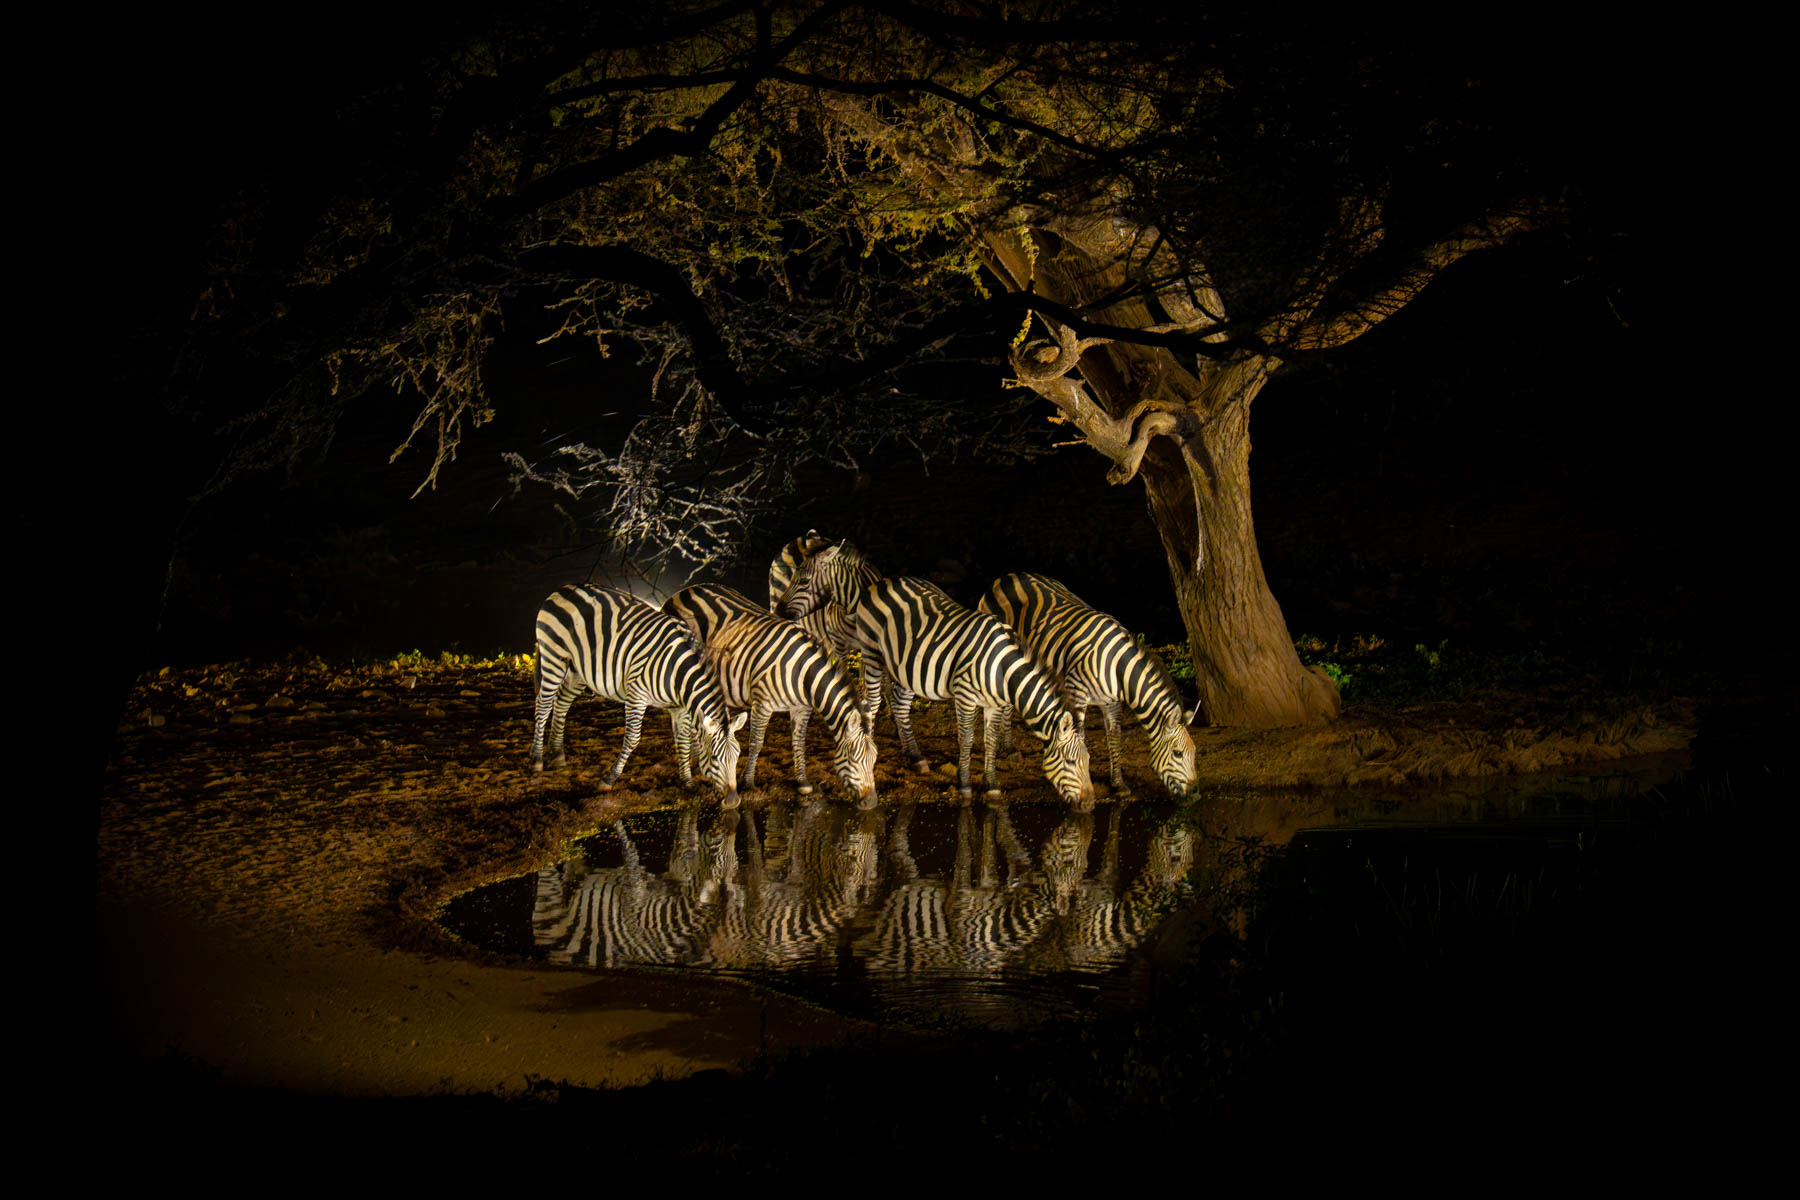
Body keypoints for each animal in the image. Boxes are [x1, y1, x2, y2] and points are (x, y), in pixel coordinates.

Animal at [531, 583, 746, 805]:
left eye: (738, 755)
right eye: (715, 757)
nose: (733, 801)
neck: (679, 673)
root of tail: (565, 588)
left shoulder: (679, 708)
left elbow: (683, 741)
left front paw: (687, 782)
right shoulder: (637, 695)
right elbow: (633, 738)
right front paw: (609, 778)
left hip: (577, 670)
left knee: (561, 702)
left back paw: (557, 754)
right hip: (554, 657)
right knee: (543, 705)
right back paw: (537, 759)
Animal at [663, 584, 877, 803]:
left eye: (875, 759)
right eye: (853, 758)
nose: (871, 802)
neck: (802, 673)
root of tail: (686, 590)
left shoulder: (802, 707)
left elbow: (799, 740)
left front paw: (802, 782)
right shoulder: (762, 703)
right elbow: (756, 742)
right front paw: (748, 782)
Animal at [779, 542, 1093, 806]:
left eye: (1087, 761)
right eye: (1069, 762)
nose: (1090, 805)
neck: (1003, 669)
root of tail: (882, 582)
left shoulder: (992, 703)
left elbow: (989, 741)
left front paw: (992, 785)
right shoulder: (965, 696)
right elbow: (966, 739)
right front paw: (965, 785)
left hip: (903, 662)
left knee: (899, 704)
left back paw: (915, 756)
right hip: (872, 653)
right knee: (872, 704)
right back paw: (871, 746)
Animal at [979, 572, 1198, 800]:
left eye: (1194, 753)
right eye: (1178, 753)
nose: (1196, 794)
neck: (1116, 665)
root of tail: (1009, 575)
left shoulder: (1112, 702)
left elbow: (1114, 738)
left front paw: (1118, 784)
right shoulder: (1077, 693)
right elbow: (1080, 738)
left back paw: (1009, 747)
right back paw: (1009, 748)